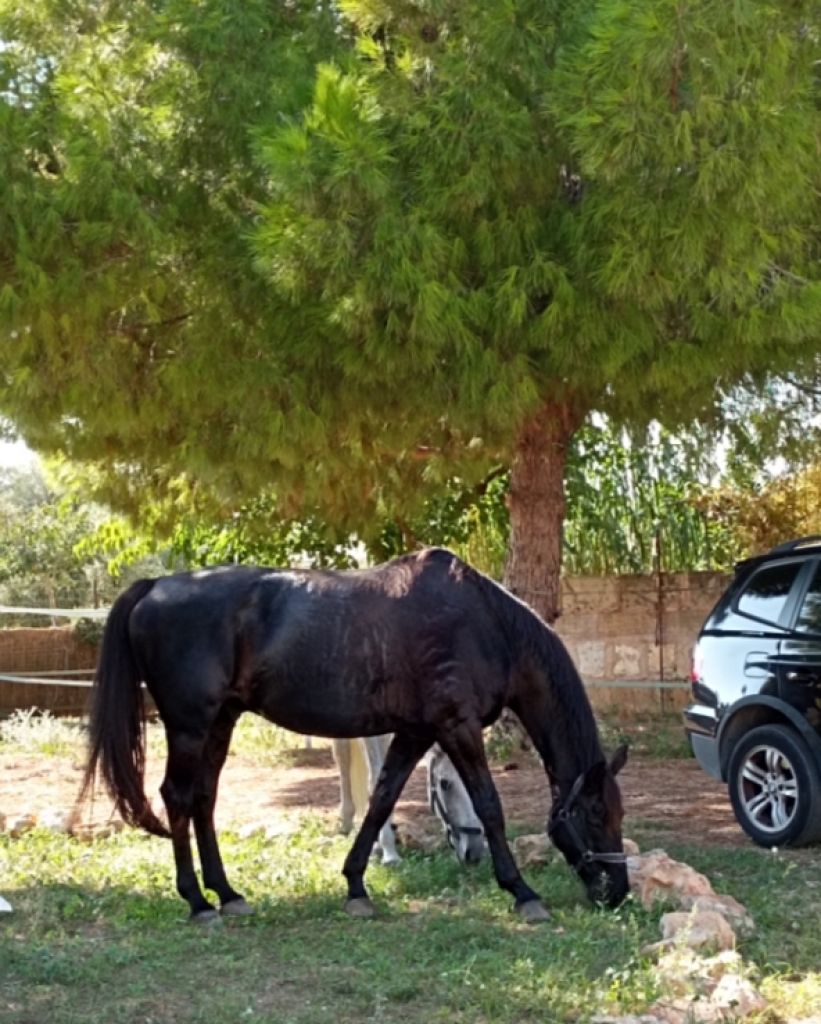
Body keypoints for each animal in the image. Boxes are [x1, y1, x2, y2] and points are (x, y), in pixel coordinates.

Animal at [332, 736, 485, 866]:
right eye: (444, 783)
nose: (475, 850)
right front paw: (390, 854)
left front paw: (379, 844)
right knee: (342, 753)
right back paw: (346, 820)